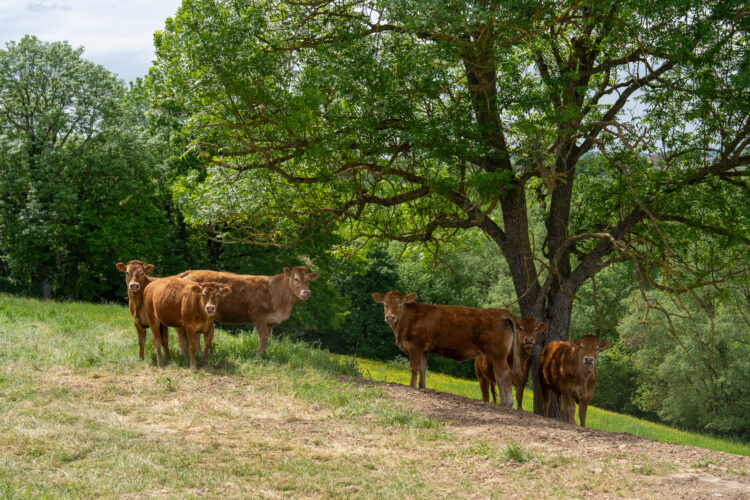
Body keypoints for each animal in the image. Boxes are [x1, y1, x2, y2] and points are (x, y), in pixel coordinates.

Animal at [177, 267, 320, 358]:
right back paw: (195, 354)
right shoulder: (257, 315)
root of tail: (190, 272)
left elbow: (266, 338)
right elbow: (263, 336)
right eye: (296, 279)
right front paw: (258, 356)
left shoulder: (270, 321)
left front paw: (263, 354)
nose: (306, 292)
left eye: (309, 280)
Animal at [372, 290, 516, 407]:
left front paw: (411, 386)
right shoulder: (423, 350)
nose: (390, 317)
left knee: (504, 373)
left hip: (497, 354)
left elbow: (414, 367)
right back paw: (503, 401)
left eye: (400, 305)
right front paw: (422, 386)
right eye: (385, 304)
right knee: (499, 375)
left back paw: (508, 402)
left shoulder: (415, 347)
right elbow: (423, 368)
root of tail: (501, 314)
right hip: (495, 356)